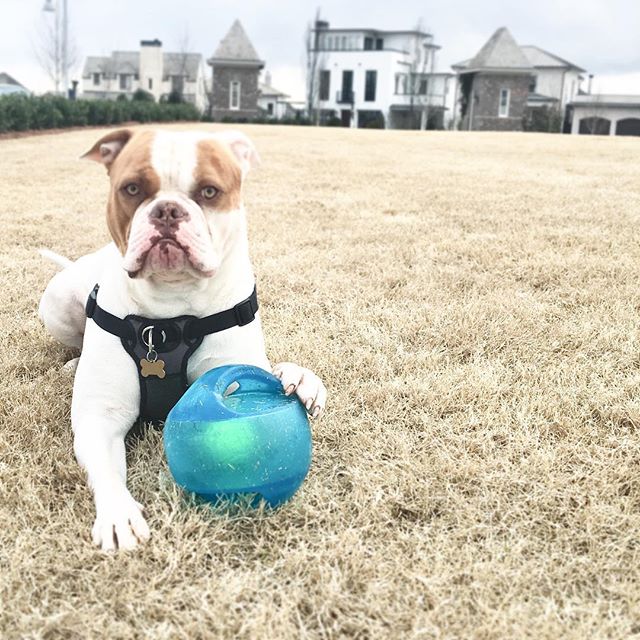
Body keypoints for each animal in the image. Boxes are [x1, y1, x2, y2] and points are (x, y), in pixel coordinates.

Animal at [39, 129, 328, 552]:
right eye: (132, 189)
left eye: (209, 191)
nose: (168, 211)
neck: (168, 314)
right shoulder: (100, 417)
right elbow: (106, 469)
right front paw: (118, 514)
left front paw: (299, 377)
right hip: (57, 303)